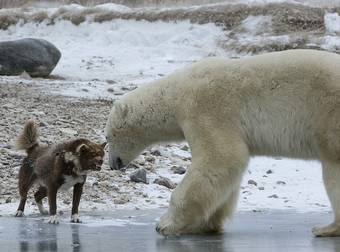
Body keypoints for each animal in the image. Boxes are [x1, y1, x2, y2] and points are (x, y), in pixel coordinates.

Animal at [105, 49, 340, 236]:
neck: (176, 94)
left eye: (107, 138)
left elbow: (220, 159)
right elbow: (226, 176)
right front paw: (207, 224)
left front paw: (165, 224)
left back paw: (325, 228)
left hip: (328, 116)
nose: (112, 164)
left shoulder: (205, 109)